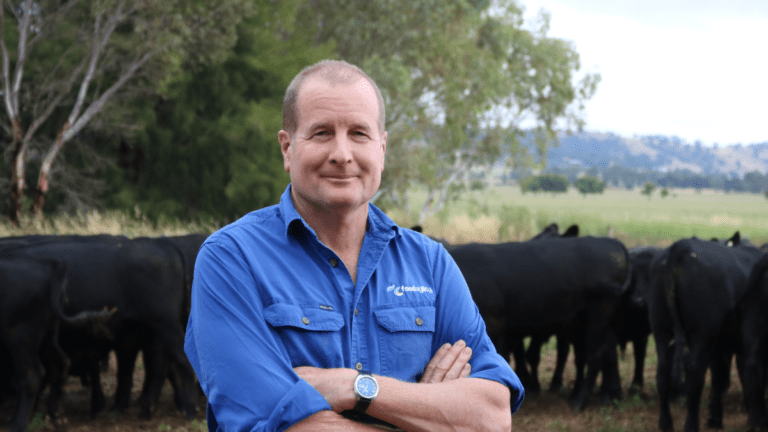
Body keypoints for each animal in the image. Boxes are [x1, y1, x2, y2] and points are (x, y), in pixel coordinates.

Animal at [0, 256, 113, 432]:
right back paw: (54, 415)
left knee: (32, 375)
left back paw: (18, 425)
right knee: (60, 362)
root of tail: (49, 266)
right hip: (49, 333)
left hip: (19, 337)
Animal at [450, 235, 632, 410]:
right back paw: (607, 396)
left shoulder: (495, 325)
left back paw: (580, 401)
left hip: (600, 310)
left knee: (595, 354)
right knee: (607, 349)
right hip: (586, 319)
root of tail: (609, 242)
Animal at [640, 236, 760, 432]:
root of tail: (681, 245)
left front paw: (715, 418)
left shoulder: (721, 347)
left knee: (663, 373)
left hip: (661, 328)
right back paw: (691, 424)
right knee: (695, 374)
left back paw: (666, 423)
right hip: (702, 334)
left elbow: (720, 379)